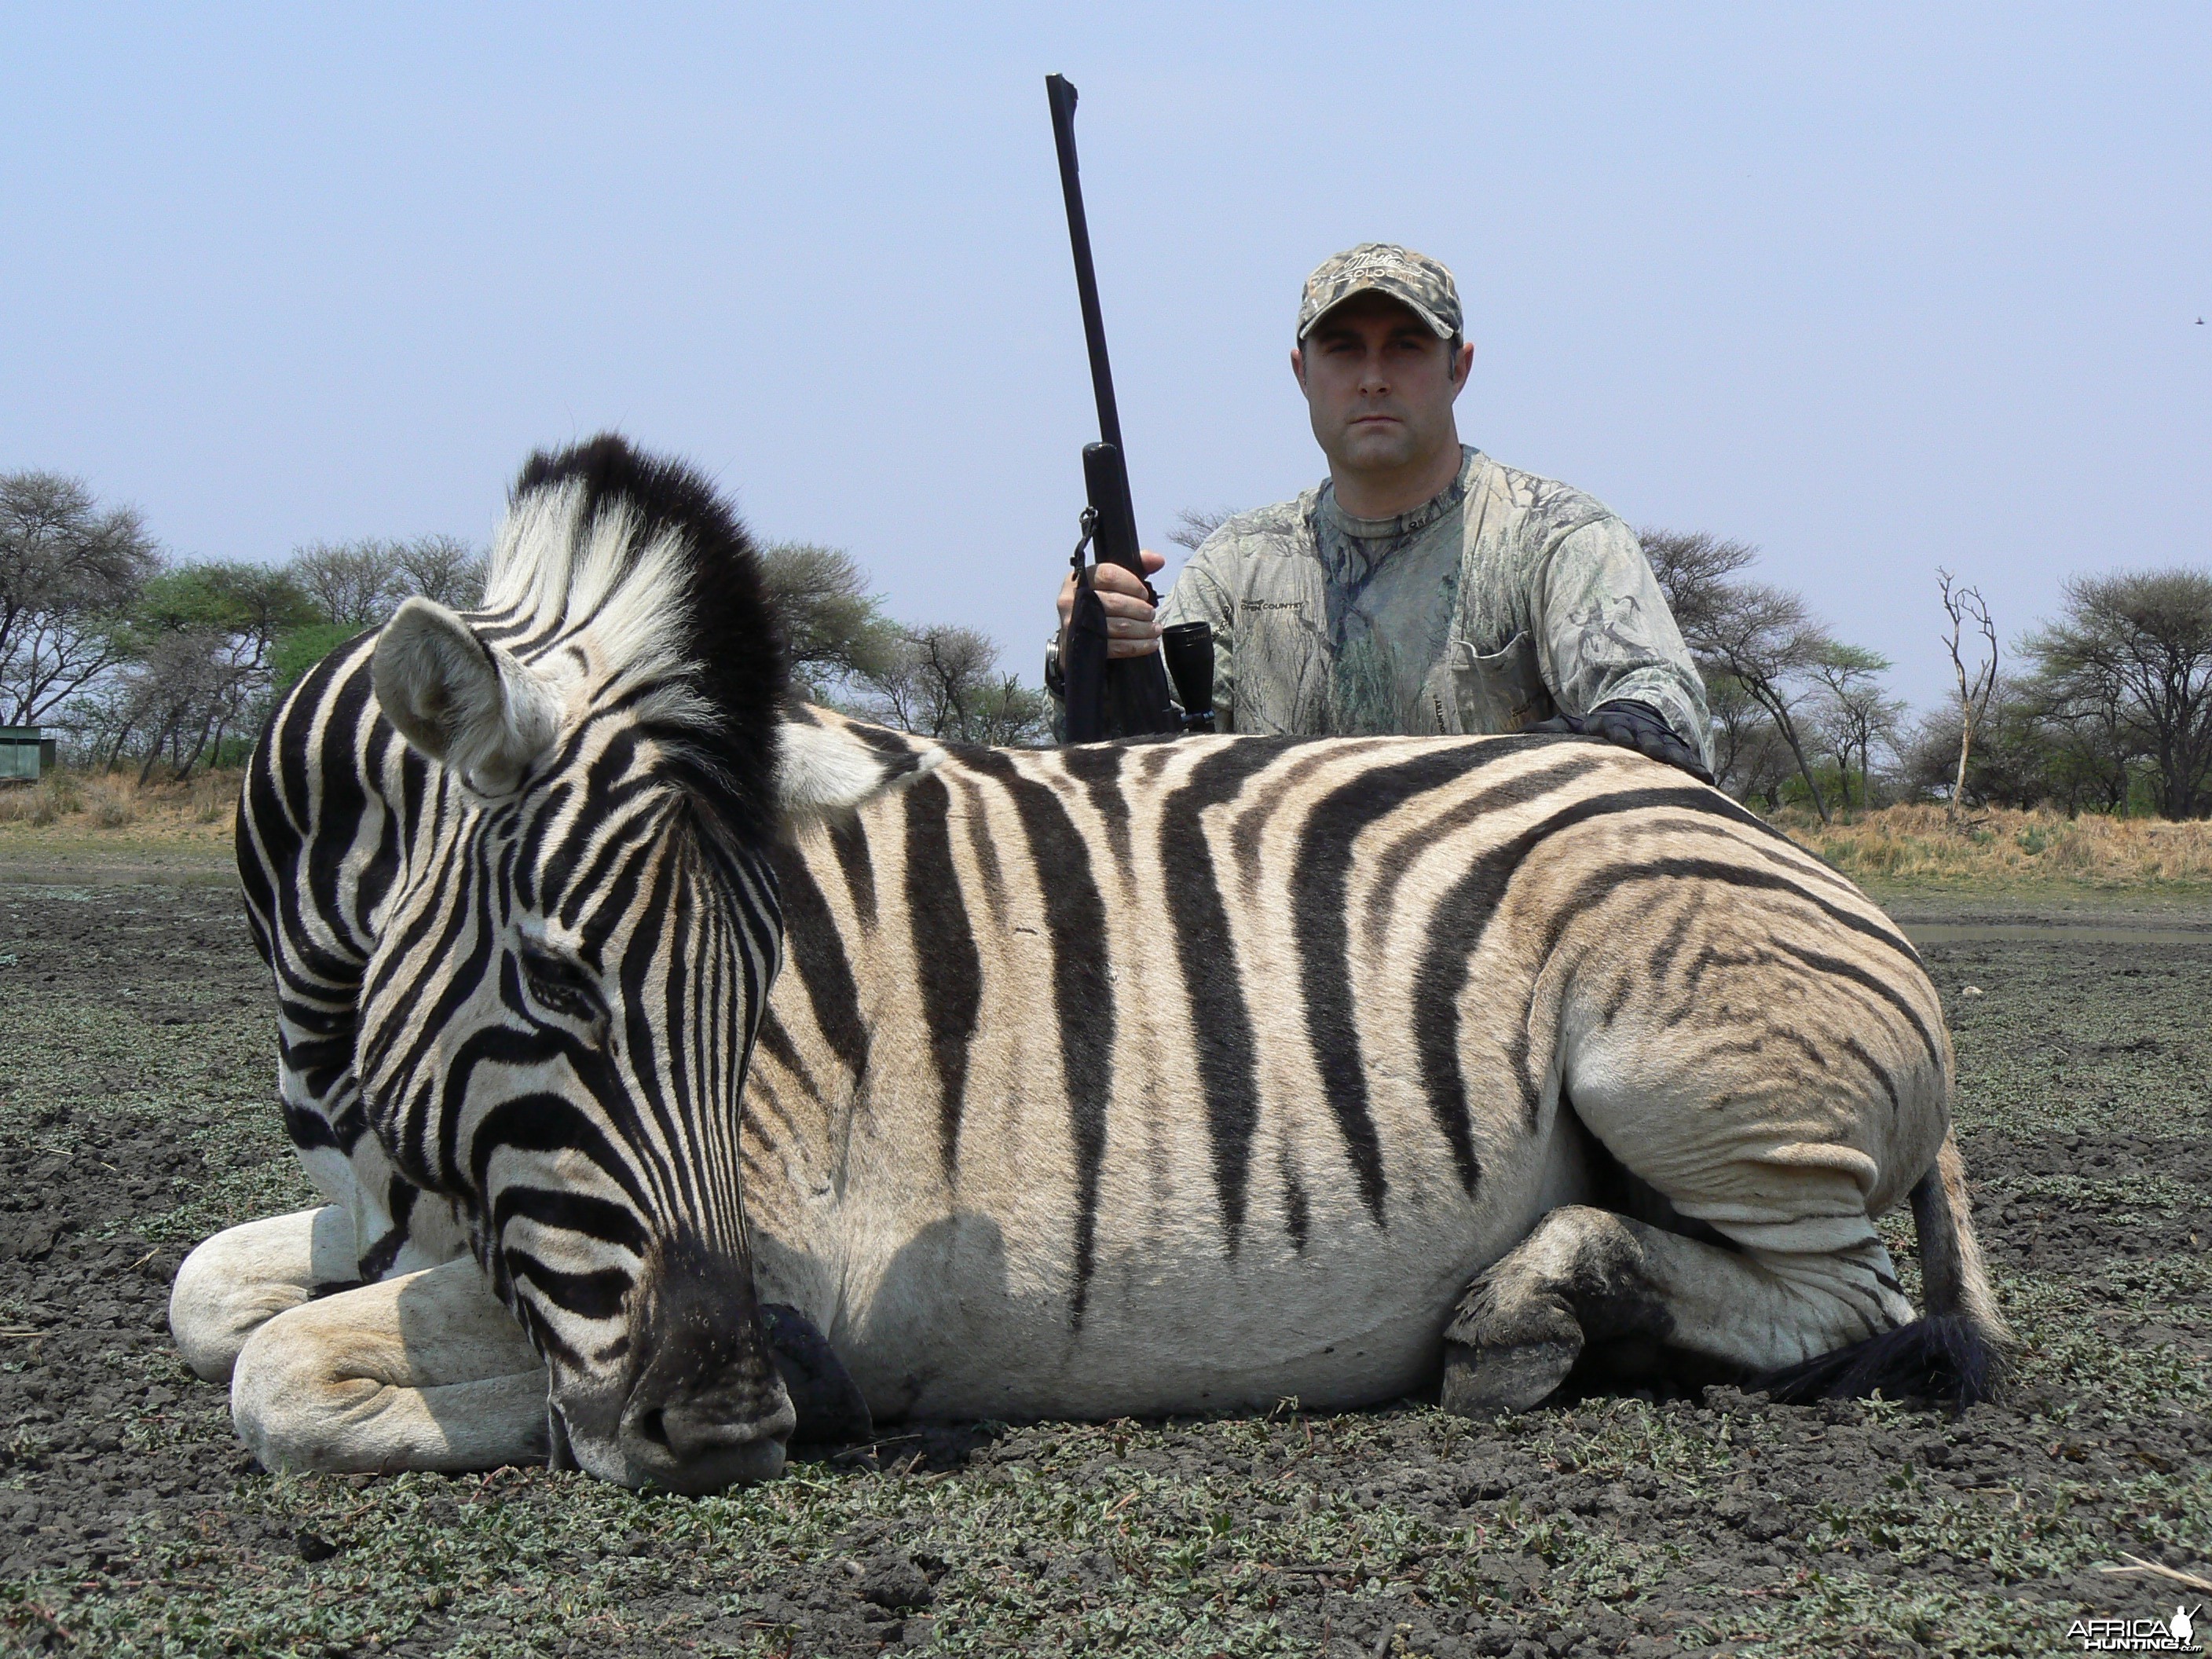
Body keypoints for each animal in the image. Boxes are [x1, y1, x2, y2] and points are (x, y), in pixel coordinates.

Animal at [168, 438, 2008, 1495]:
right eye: (551, 986)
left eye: (757, 1002)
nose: (737, 1419)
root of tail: (1731, 813)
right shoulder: (391, 1218)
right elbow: (209, 1294)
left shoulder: (740, 1245)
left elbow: (278, 1375)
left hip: (1684, 1079)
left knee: (1846, 1296)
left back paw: (1526, 1314)